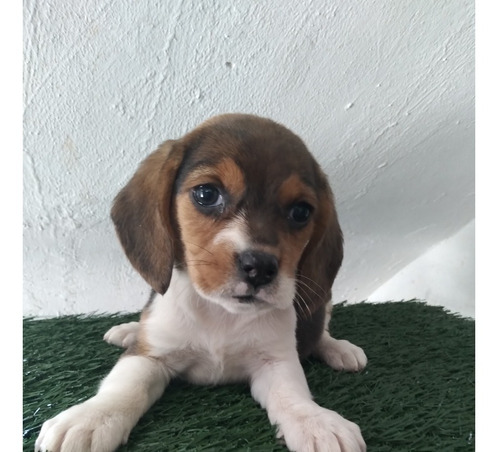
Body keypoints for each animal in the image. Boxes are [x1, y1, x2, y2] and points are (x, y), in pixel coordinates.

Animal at [35, 114, 368, 452]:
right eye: (207, 194)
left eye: (301, 212)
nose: (260, 268)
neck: (220, 314)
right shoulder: (150, 357)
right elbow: (125, 386)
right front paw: (91, 418)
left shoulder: (275, 361)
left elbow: (292, 395)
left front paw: (316, 422)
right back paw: (128, 331)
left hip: (325, 301)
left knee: (321, 331)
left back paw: (339, 349)